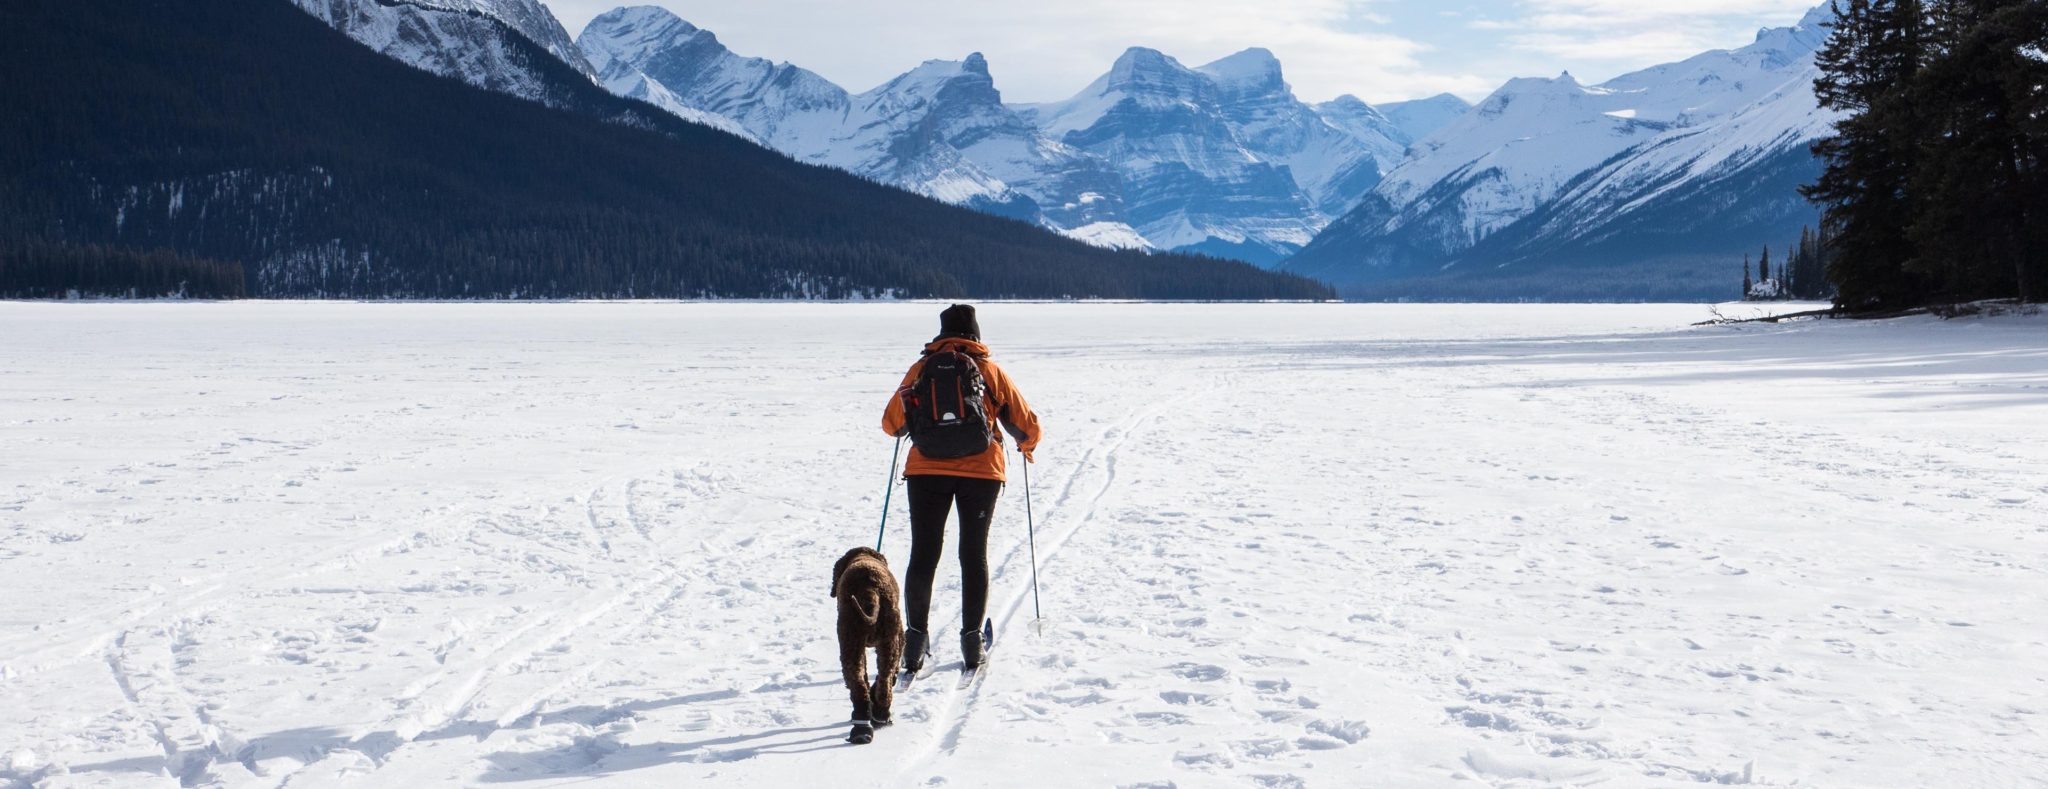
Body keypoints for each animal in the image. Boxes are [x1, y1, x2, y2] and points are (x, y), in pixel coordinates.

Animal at [827, 545, 901, 741]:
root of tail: (870, 591)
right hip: (886, 642)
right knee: (883, 682)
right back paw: (879, 718)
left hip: (852, 642)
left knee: (864, 684)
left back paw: (863, 728)